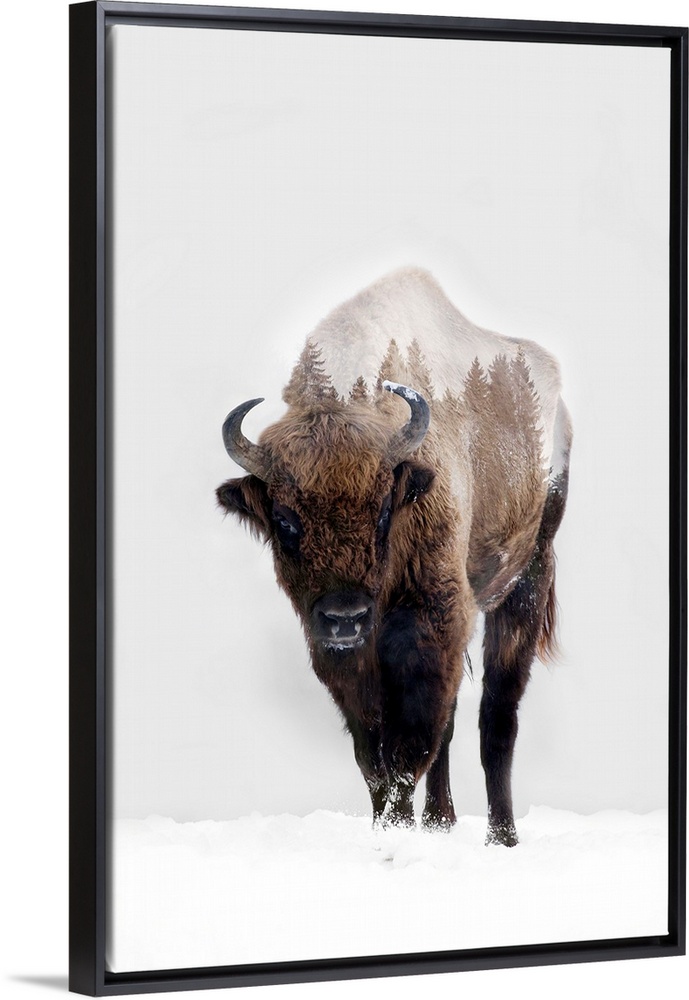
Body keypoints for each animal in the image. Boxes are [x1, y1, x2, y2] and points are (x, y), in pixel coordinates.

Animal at [217, 267, 571, 846]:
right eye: (285, 521)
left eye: (386, 509)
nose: (344, 617)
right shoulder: (342, 656)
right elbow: (375, 756)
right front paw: (395, 829)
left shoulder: (433, 622)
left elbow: (409, 748)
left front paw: (400, 832)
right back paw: (440, 823)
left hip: (527, 576)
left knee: (497, 715)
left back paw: (502, 836)